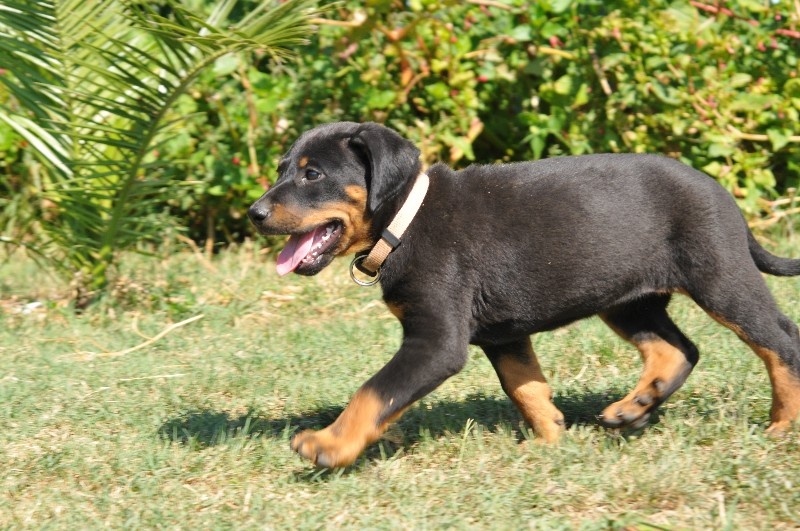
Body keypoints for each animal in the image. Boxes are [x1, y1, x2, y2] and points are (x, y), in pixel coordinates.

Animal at [248, 121, 800, 468]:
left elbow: (375, 391)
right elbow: (526, 388)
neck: (404, 221)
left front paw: (328, 445)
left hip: (720, 278)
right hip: (627, 299)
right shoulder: (502, 336)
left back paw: (782, 426)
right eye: (281, 169)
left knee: (780, 340)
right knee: (678, 348)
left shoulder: (436, 342)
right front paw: (552, 441)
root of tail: (723, 195)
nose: (255, 213)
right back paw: (634, 406)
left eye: (312, 174)